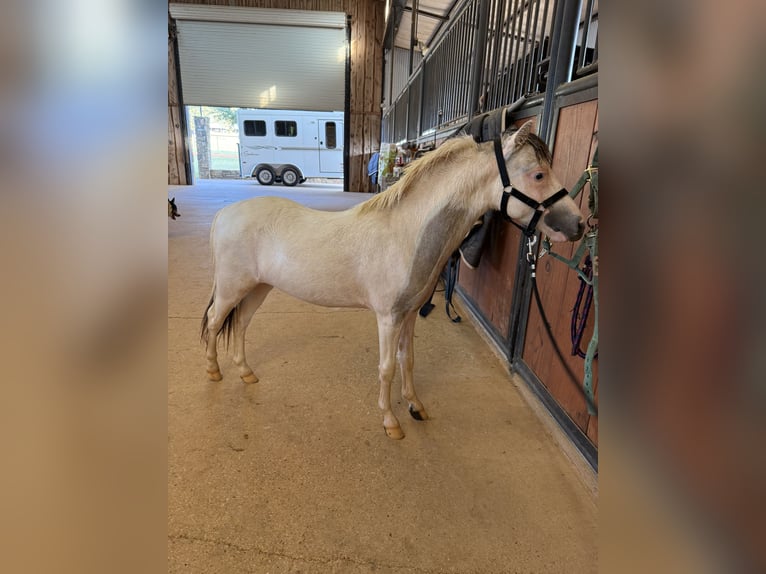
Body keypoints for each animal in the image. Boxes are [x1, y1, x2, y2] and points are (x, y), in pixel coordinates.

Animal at [201, 120, 584, 439]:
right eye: (538, 175)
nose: (579, 224)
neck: (406, 234)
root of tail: (224, 214)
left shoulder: (409, 314)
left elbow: (407, 360)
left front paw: (416, 407)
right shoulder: (388, 318)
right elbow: (386, 367)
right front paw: (390, 422)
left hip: (257, 289)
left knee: (241, 324)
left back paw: (246, 372)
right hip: (233, 288)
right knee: (216, 321)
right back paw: (214, 372)